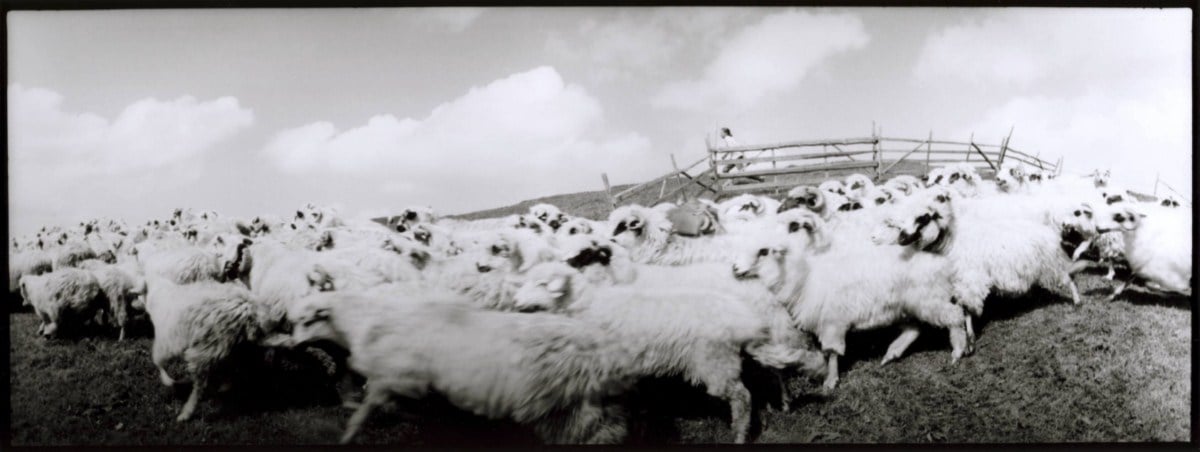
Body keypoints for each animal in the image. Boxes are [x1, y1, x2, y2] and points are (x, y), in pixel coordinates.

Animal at [133, 273, 270, 422]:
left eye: (138, 295)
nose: (133, 305)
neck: (158, 294)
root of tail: (248, 308)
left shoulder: (169, 340)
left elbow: (157, 360)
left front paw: (168, 381)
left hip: (205, 350)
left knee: (200, 387)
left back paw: (187, 413)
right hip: (237, 347)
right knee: (239, 367)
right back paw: (226, 386)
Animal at [289, 288, 633, 443]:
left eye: (308, 320)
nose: (292, 346)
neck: (360, 321)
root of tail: (601, 346)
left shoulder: (394, 376)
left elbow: (369, 409)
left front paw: (348, 435)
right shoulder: (400, 381)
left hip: (560, 402)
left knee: (588, 430)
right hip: (582, 398)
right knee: (609, 422)